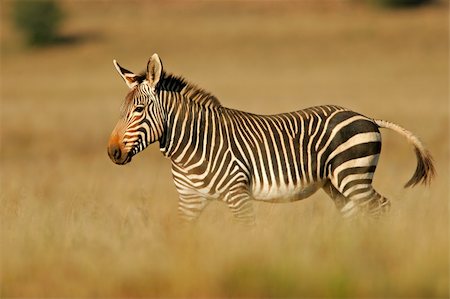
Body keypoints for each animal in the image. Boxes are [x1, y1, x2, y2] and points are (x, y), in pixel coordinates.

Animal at [107, 54, 434, 224]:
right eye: (121, 111)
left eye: (138, 110)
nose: (112, 153)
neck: (191, 144)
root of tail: (368, 117)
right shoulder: (189, 200)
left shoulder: (237, 195)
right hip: (337, 184)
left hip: (352, 175)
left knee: (381, 208)